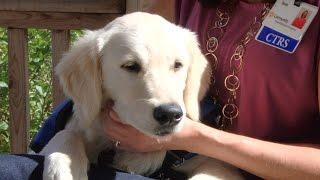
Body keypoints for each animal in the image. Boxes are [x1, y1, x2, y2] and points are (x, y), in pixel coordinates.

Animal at [39, 11, 242, 179]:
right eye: (130, 66)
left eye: (178, 65)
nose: (170, 114)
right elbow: (66, 134)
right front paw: (66, 167)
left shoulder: (218, 163)